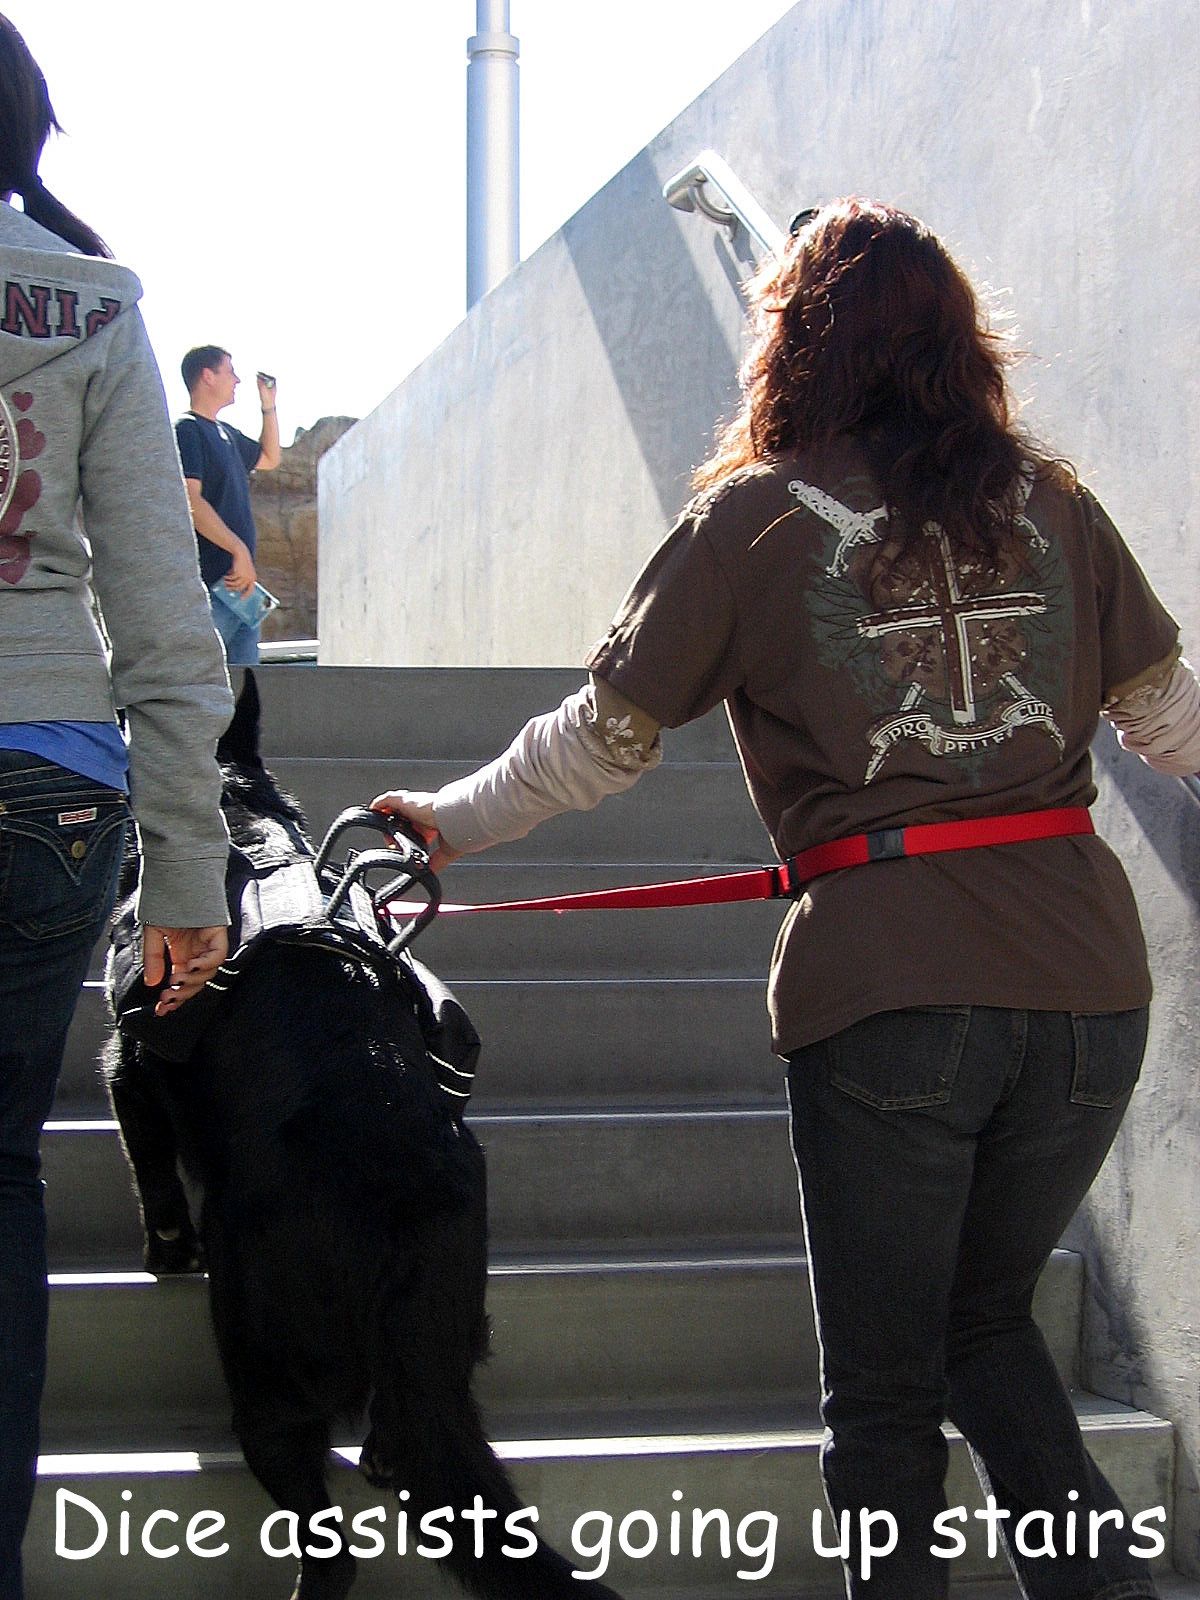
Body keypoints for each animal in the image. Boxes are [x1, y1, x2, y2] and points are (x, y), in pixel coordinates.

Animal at [103, 678, 620, 1600]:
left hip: (266, 1360)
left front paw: (165, 1250)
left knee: (329, 1542)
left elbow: (151, 1176)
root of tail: (401, 1196)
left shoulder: (128, 1065)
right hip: (441, 1354)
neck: (237, 818)